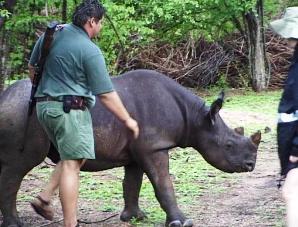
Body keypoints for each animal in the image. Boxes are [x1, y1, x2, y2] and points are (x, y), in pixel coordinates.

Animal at [0, 69, 260, 227]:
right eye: (228, 145)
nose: (251, 165)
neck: (196, 119)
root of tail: (5, 97)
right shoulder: (155, 148)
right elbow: (163, 184)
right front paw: (182, 222)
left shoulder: (139, 151)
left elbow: (133, 183)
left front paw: (134, 217)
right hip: (22, 114)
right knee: (18, 168)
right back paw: (16, 223)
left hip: (18, 111)